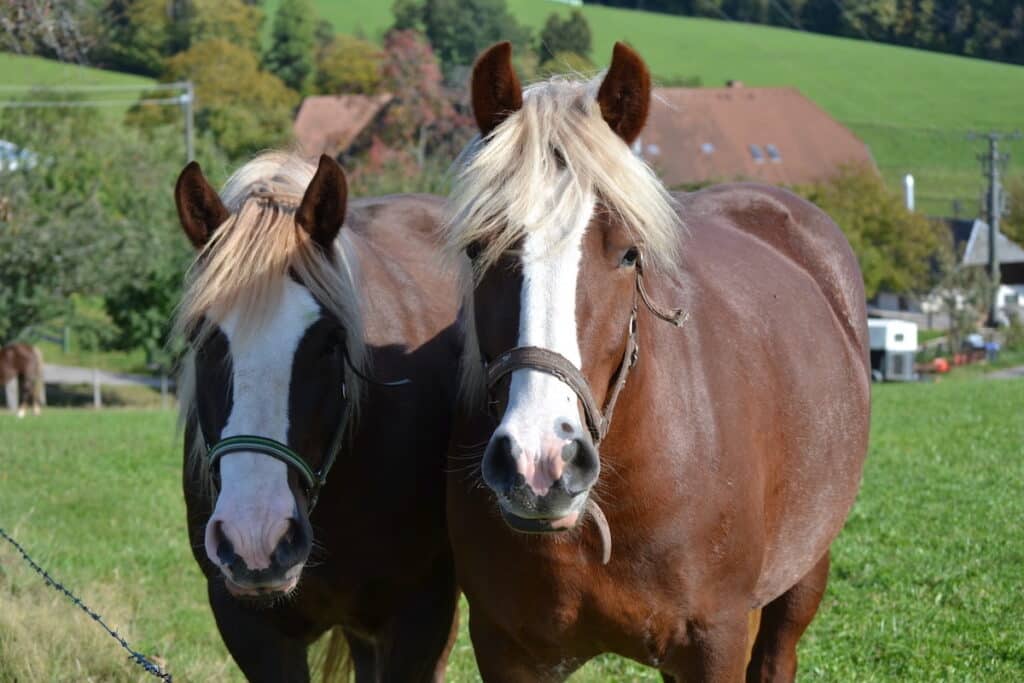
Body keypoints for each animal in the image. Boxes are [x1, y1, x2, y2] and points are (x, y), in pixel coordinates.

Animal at [444, 44, 868, 683]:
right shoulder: (507, 648)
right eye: (478, 249)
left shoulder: (717, 641)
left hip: (802, 574)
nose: (539, 463)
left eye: (628, 254)